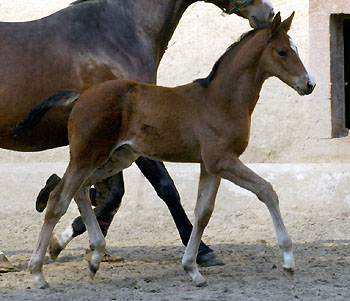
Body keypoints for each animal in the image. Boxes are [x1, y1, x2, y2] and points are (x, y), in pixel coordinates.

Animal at [18, 11, 314, 288]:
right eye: (283, 51)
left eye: (297, 49)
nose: (309, 84)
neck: (221, 100)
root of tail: (80, 96)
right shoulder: (222, 160)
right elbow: (267, 190)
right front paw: (288, 262)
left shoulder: (209, 166)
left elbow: (203, 213)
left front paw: (193, 270)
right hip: (86, 156)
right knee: (58, 198)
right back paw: (38, 273)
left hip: (116, 158)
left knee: (79, 191)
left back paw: (93, 259)